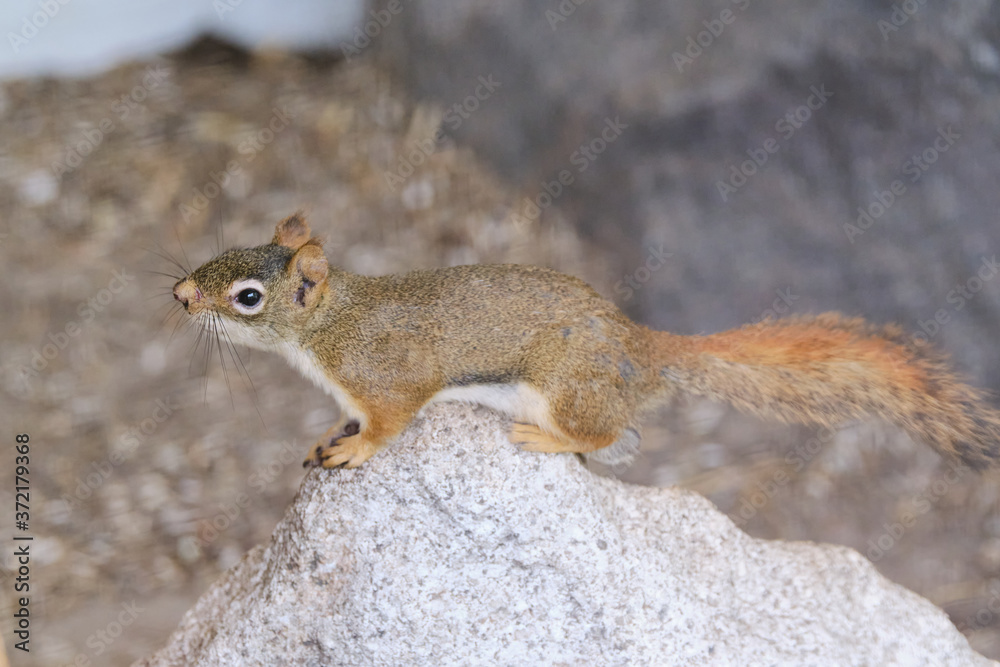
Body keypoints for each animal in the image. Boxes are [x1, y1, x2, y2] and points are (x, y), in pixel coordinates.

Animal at [172, 213, 1000, 471]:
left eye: (247, 297)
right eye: (227, 248)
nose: (179, 294)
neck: (327, 327)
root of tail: (647, 348)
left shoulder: (390, 378)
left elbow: (389, 422)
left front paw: (355, 450)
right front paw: (328, 434)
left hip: (566, 385)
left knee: (608, 436)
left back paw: (546, 439)